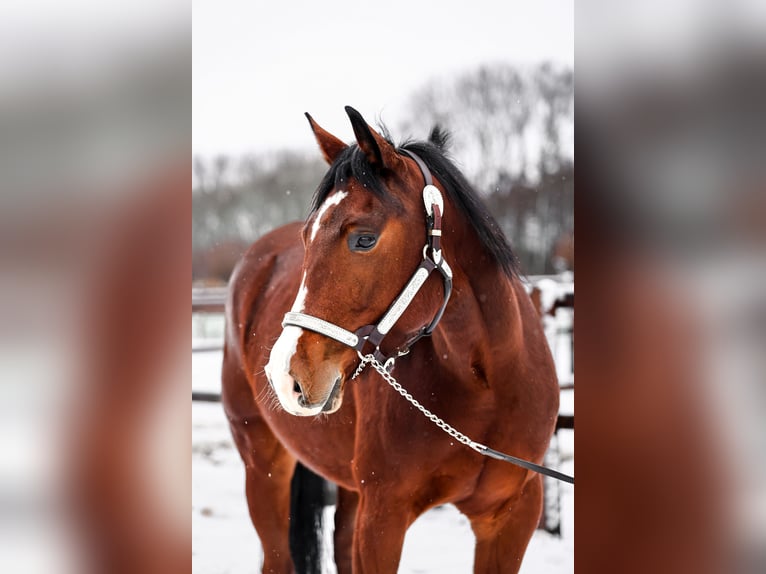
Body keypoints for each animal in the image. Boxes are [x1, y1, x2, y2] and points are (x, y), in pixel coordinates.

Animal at [222, 106, 560, 573]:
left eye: (364, 238)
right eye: (307, 238)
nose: (284, 375)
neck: (486, 385)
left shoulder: (511, 517)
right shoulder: (382, 519)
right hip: (263, 464)